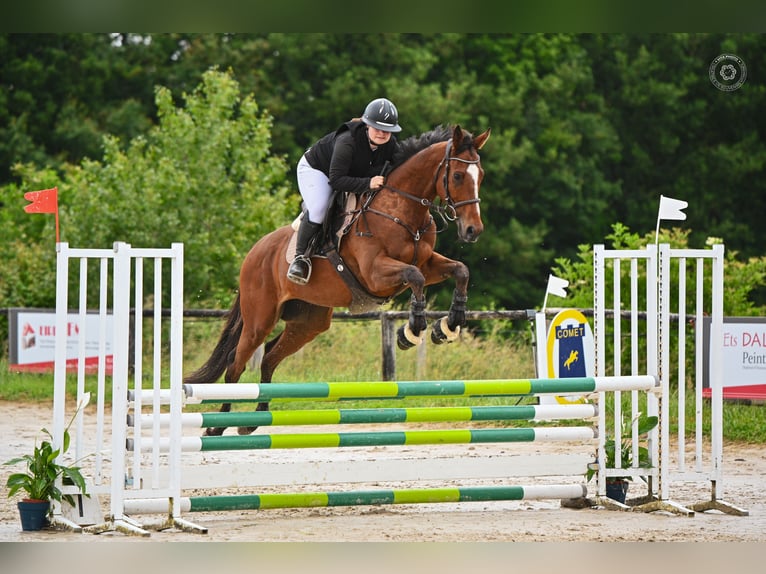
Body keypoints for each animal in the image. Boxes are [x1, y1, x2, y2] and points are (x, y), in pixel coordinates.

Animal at [186, 125, 492, 436]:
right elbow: (414, 276)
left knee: (270, 355)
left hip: (309, 322)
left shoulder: (427, 263)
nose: (473, 230)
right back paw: (217, 428)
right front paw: (411, 331)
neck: (401, 211)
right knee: (236, 363)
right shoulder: (376, 274)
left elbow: (460, 271)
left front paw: (448, 326)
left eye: (480, 175)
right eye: (457, 175)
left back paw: (254, 420)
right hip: (260, 319)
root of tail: (253, 253)